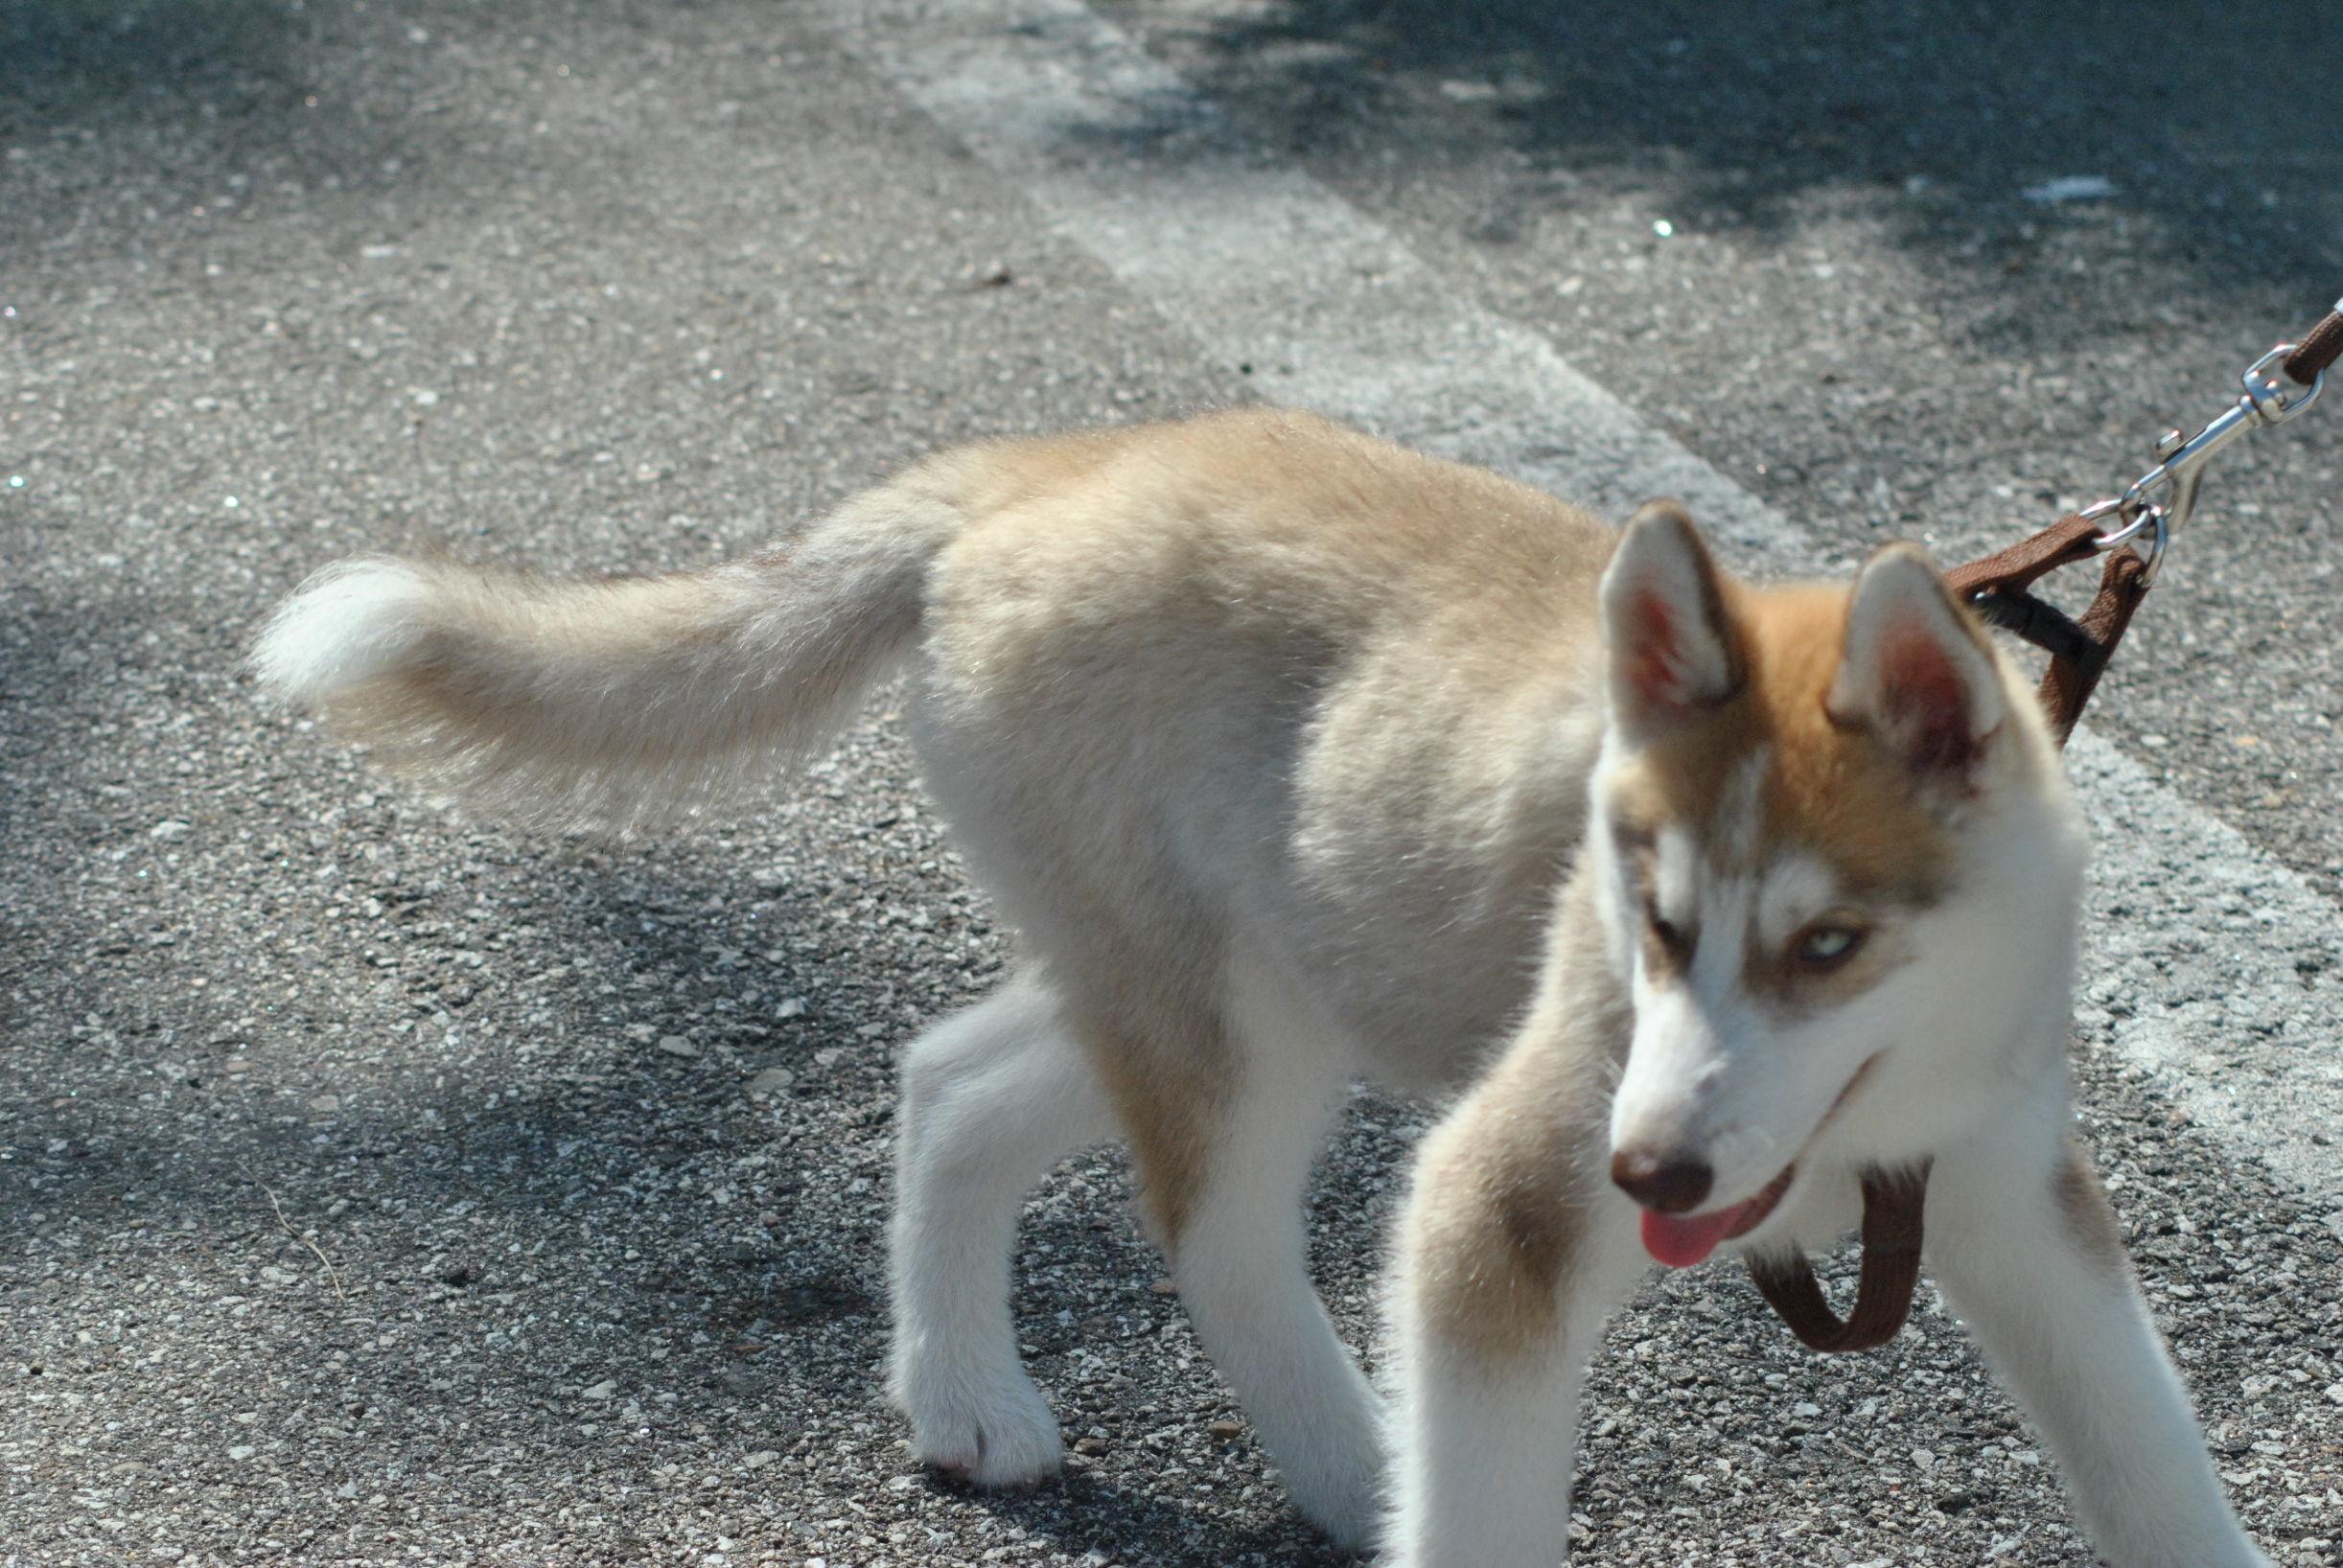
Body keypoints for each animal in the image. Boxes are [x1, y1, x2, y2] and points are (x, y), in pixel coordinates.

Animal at [251, 409, 2267, 1556]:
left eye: (1824, 946)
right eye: (1651, 921)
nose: (1648, 1172)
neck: (1876, 1112)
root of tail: (1038, 472)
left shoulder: (2008, 1197)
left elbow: (2156, 1470)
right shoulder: (1499, 1204)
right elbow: (1478, 1486)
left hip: (1235, 976)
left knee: (953, 1078)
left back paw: (963, 1394)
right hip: (1232, 1021)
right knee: (1209, 1237)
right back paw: (1354, 1471)